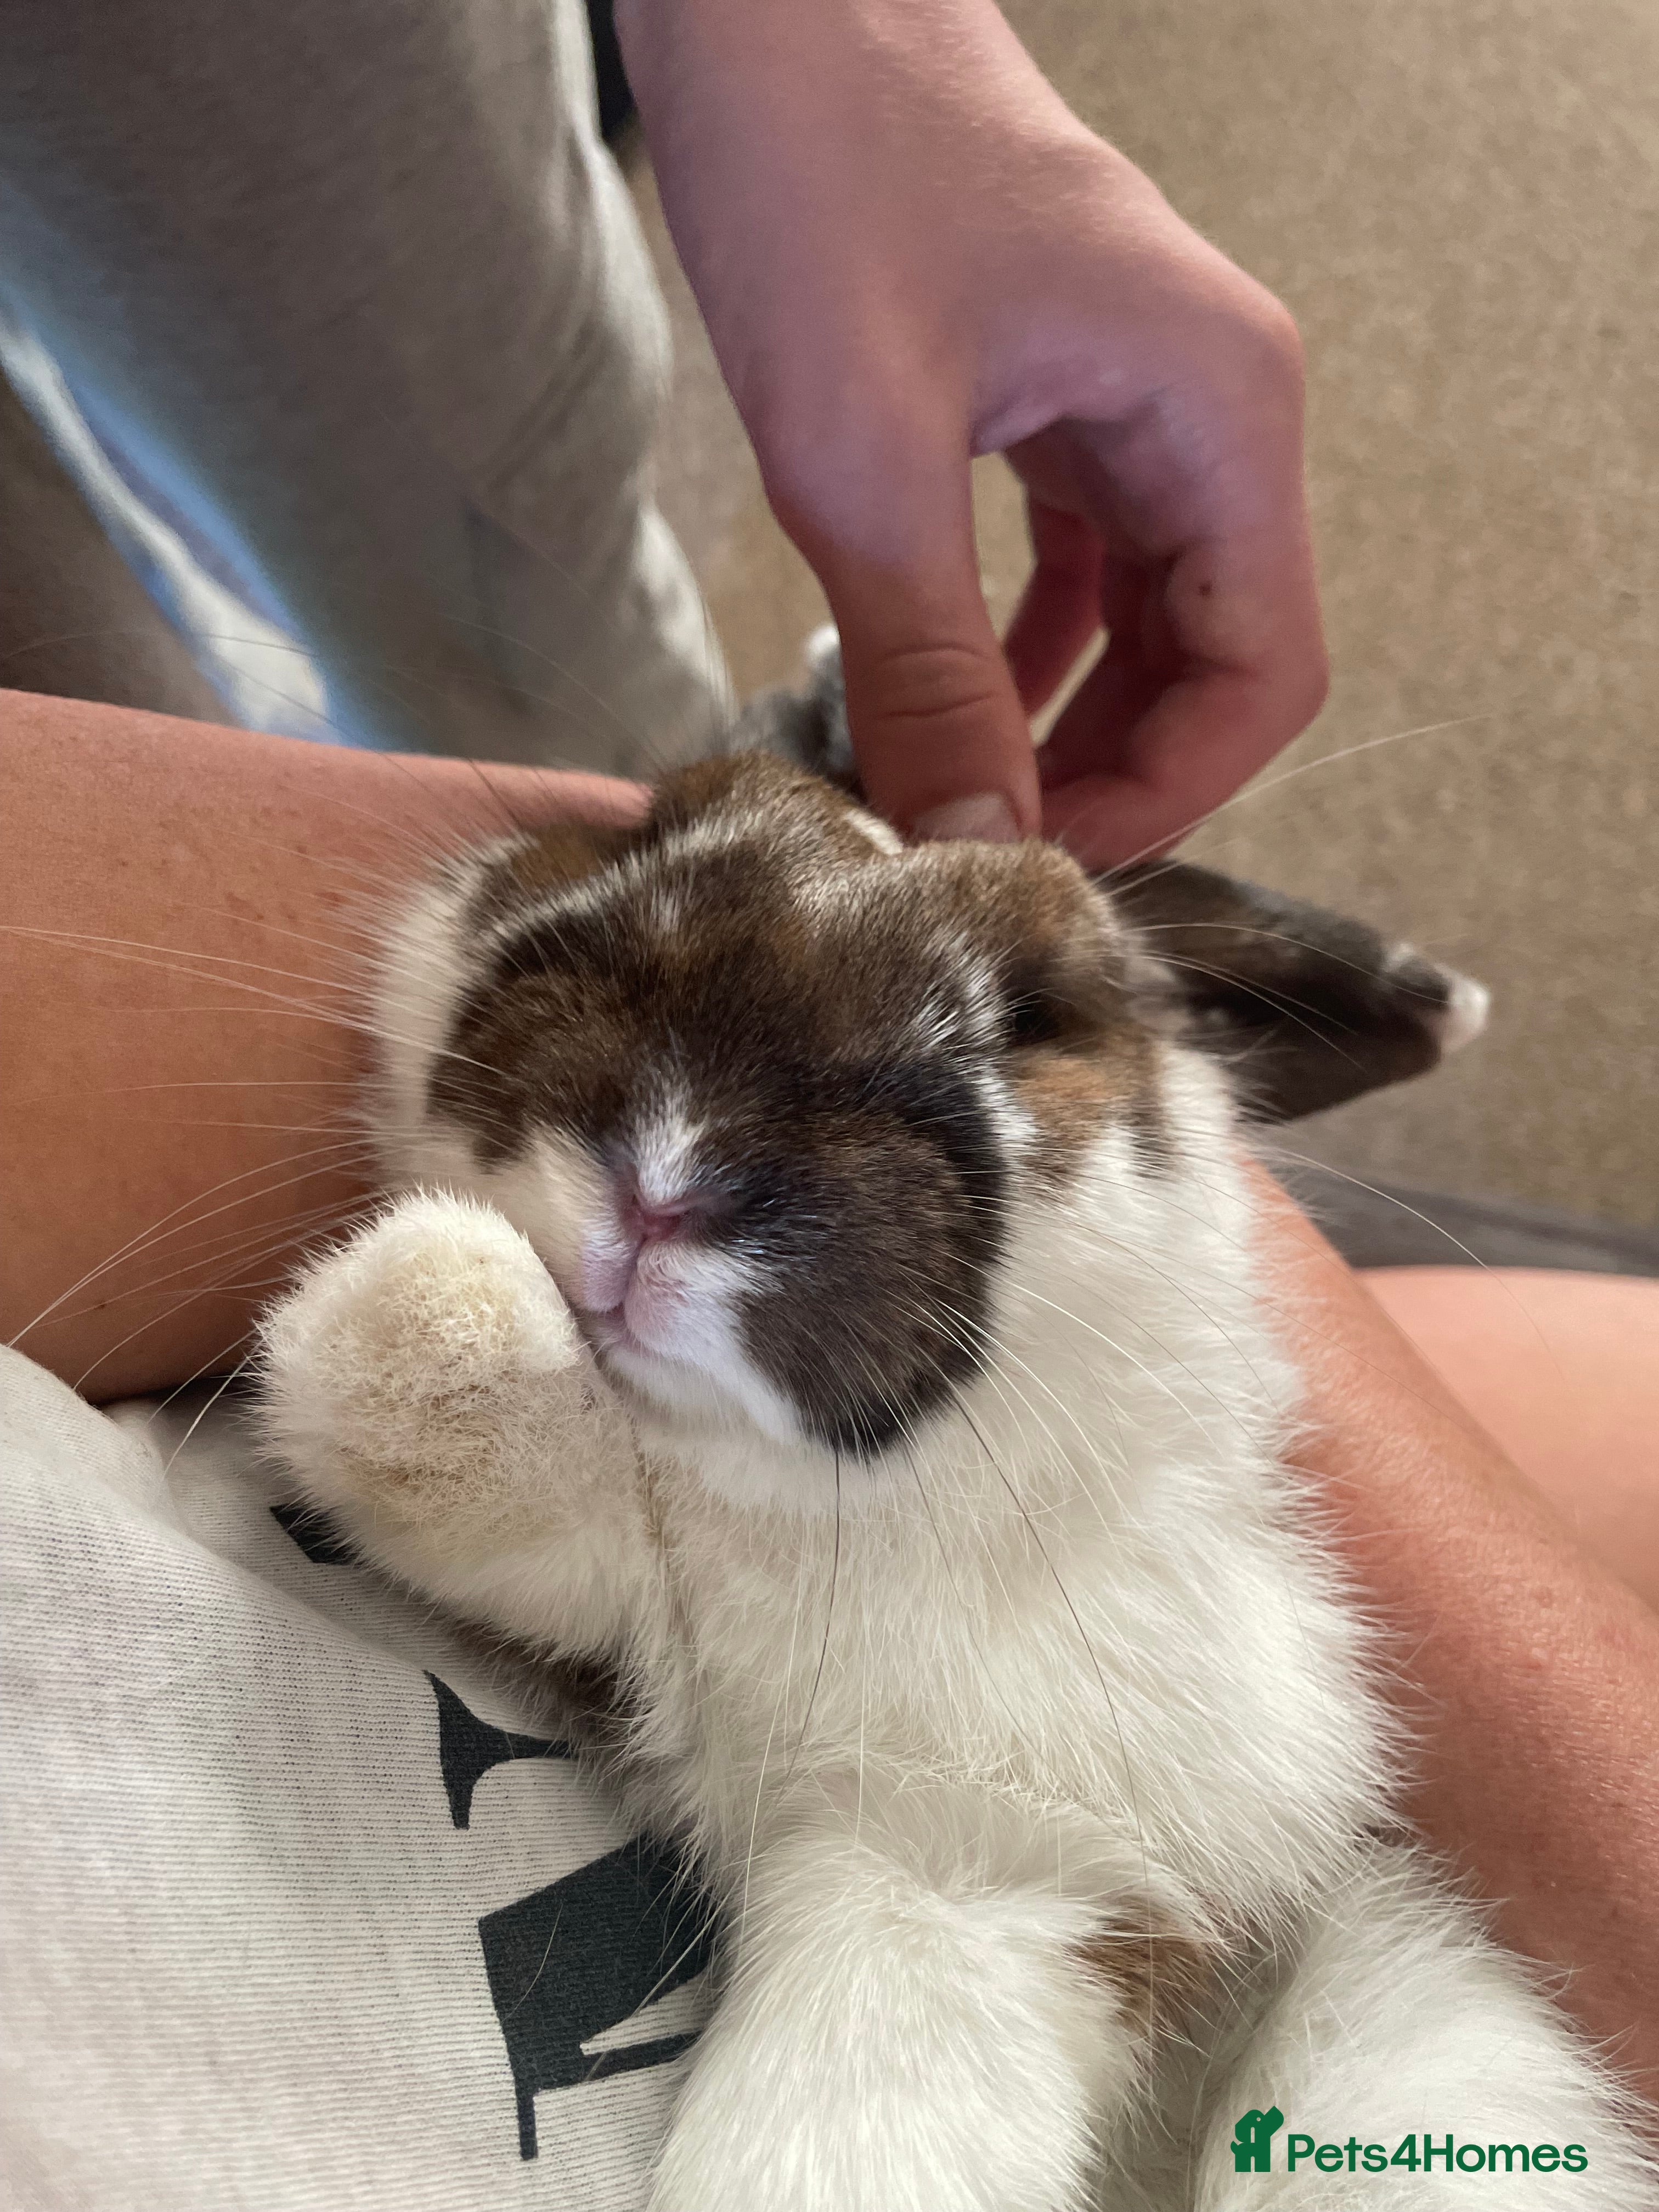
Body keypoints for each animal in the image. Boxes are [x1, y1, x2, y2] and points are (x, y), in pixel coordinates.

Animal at [258, 697, 1650, 2209]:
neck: (828, 1521)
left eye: (1043, 1013)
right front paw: (438, 1296)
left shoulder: (994, 1872)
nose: (667, 1177)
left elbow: (846, 2136)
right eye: (656, 830)